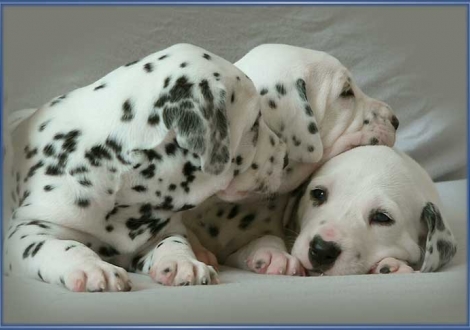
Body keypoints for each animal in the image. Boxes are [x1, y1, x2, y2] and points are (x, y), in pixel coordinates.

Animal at [3, 43, 290, 292]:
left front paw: (183, 262)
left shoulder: (165, 228)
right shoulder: (28, 230)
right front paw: (93, 268)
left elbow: (175, 241)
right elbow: (62, 247)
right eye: (255, 124)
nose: (285, 155)